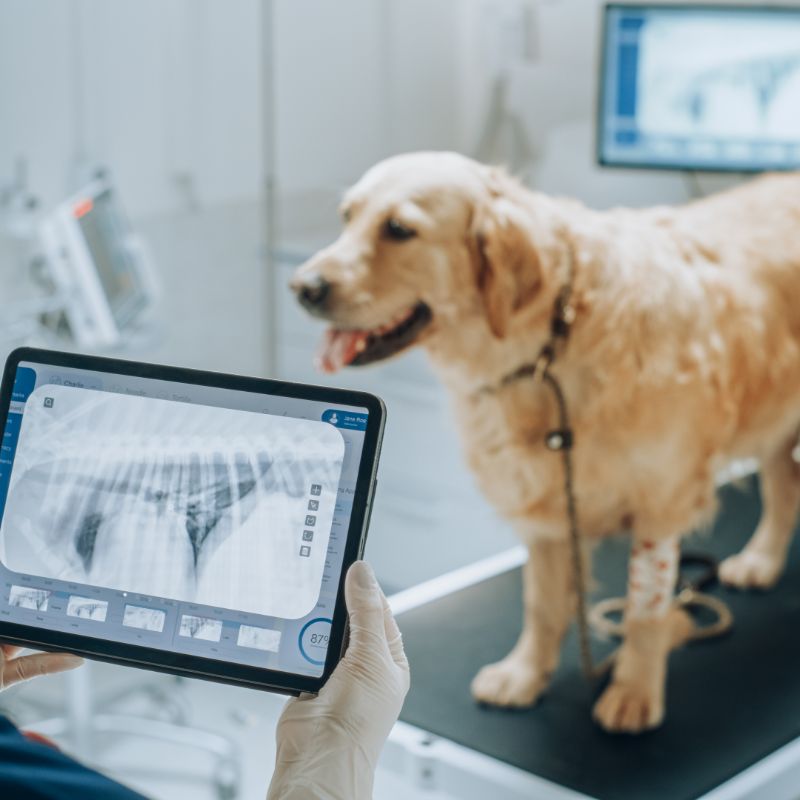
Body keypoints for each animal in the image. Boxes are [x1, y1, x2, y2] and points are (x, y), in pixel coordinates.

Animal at [290, 152, 800, 732]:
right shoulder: (546, 503)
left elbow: (645, 610)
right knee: (784, 487)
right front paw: (523, 675)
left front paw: (634, 690)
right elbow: (542, 602)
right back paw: (761, 560)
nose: (302, 287)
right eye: (346, 216)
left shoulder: (661, 499)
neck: (550, 344)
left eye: (399, 229)